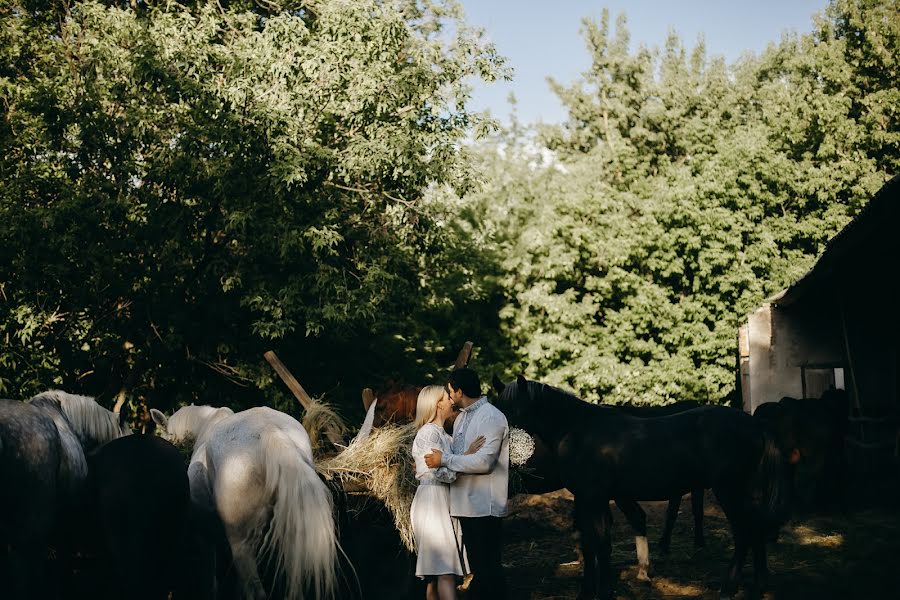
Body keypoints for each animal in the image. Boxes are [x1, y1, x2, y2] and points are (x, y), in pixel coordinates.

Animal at [496, 378, 792, 596]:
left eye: (511, 411)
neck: (579, 431)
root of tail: (754, 424)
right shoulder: (593, 498)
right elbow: (598, 543)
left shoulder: (591, 497)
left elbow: (596, 544)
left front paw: (596, 591)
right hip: (747, 492)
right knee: (755, 532)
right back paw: (758, 586)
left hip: (729, 491)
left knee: (743, 533)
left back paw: (729, 587)